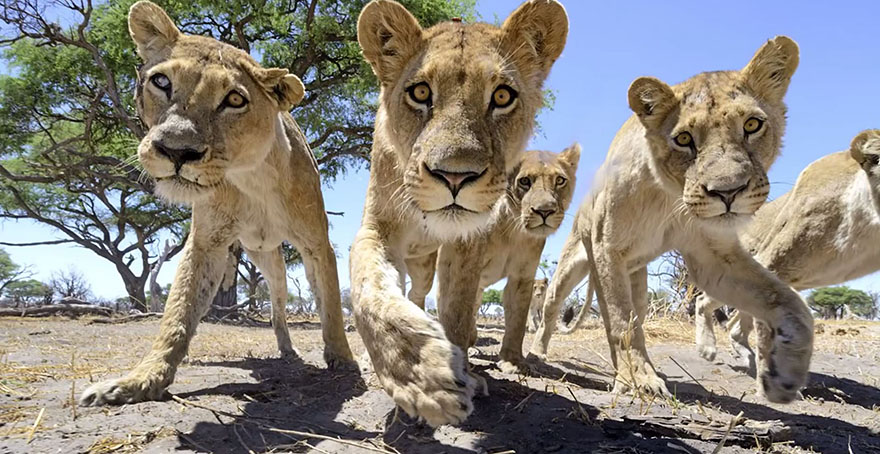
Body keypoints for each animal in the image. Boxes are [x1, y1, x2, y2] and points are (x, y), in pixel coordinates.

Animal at [79, 1, 353, 406]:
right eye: (162, 82)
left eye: (234, 100)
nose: (177, 150)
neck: (252, 178)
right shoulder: (206, 242)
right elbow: (178, 312)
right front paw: (139, 380)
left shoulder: (316, 243)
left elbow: (331, 304)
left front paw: (344, 360)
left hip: (274, 264)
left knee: (278, 307)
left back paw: (288, 351)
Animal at [405, 146, 581, 374]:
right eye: (525, 181)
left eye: (560, 180)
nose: (545, 211)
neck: (513, 229)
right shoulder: (462, 261)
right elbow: (457, 309)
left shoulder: (522, 275)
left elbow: (517, 320)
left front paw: (513, 361)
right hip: (426, 268)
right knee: (418, 294)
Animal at [529, 36, 814, 404]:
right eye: (683, 139)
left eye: (752, 125)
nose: (728, 191)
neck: (670, 197)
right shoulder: (606, 248)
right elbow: (620, 323)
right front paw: (639, 381)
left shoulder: (713, 258)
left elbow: (789, 301)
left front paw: (783, 375)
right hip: (571, 265)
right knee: (553, 310)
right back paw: (537, 353)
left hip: (636, 279)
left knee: (636, 314)